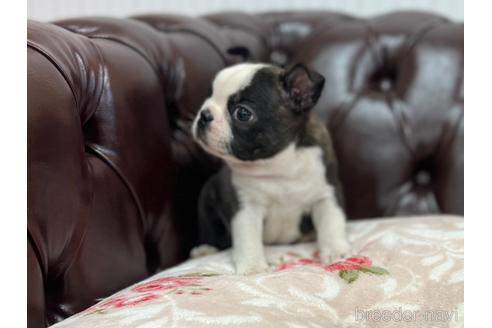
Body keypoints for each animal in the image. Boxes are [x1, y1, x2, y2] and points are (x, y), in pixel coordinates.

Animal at [191, 62, 350, 272]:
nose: (204, 114)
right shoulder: (246, 207)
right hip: (207, 197)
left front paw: (336, 251)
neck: (277, 166)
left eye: (242, 113)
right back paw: (205, 249)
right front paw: (253, 266)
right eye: (208, 96)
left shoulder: (325, 194)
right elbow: (248, 237)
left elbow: (332, 222)